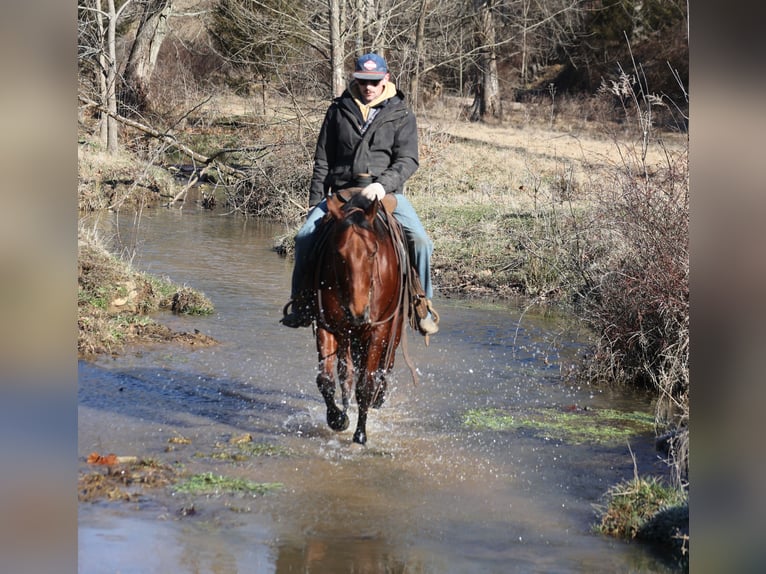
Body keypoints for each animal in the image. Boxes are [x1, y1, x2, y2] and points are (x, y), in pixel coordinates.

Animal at [312, 191, 408, 445]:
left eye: (373, 252)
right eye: (338, 254)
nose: (357, 312)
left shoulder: (378, 331)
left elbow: (366, 384)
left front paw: (361, 434)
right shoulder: (328, 326)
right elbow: (327, 380)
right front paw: (338, 419)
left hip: (393, 332)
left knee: (386, 366)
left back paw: (378, 399)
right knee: (347, 373)